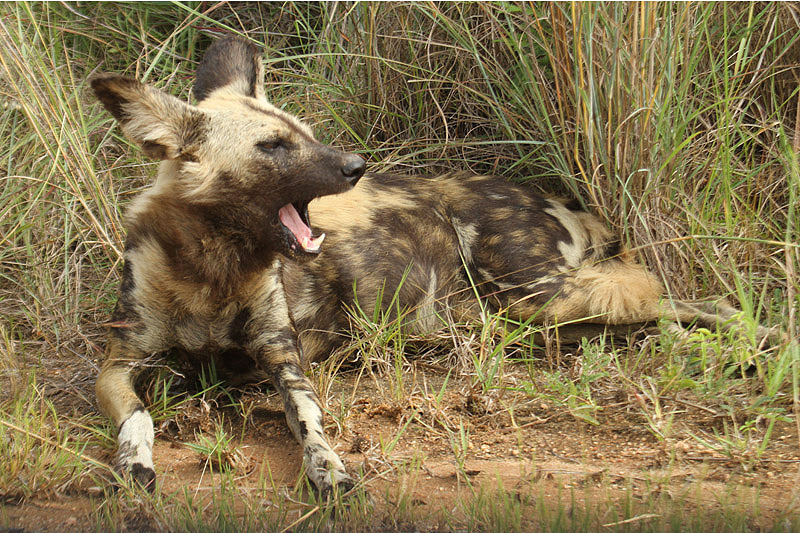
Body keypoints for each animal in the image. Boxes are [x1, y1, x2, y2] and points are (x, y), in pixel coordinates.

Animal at [92, 36, 776, 494]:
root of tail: (558, 199)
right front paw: (135, 465)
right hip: (537, 320)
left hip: (545, 297)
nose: (355, 164)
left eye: (305, 133)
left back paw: (761, 342)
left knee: (695, 303)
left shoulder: (285, 361)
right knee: (653, 317)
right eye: (273, 147)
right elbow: (140, 416)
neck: (212, 268)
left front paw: (329, 469)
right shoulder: (118, 367)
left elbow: (310, 424)